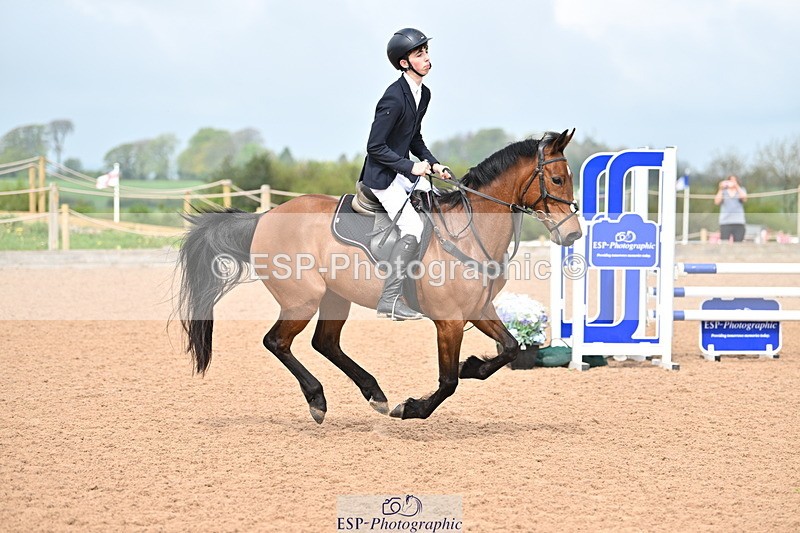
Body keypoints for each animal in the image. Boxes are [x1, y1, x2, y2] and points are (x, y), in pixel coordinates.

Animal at [177, 129, 581, 422]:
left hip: (335, 297)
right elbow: (448, 381)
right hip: (302, 299)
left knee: (325, 343)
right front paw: (414, 408)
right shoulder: (449, 321)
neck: (467, 232)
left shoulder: (478, 310)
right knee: (277, 342)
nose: (573, 234)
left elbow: (510, 347)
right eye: (557, 180)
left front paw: (472, 365)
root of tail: (264, 217)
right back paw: (318, 399)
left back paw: (375, 394)